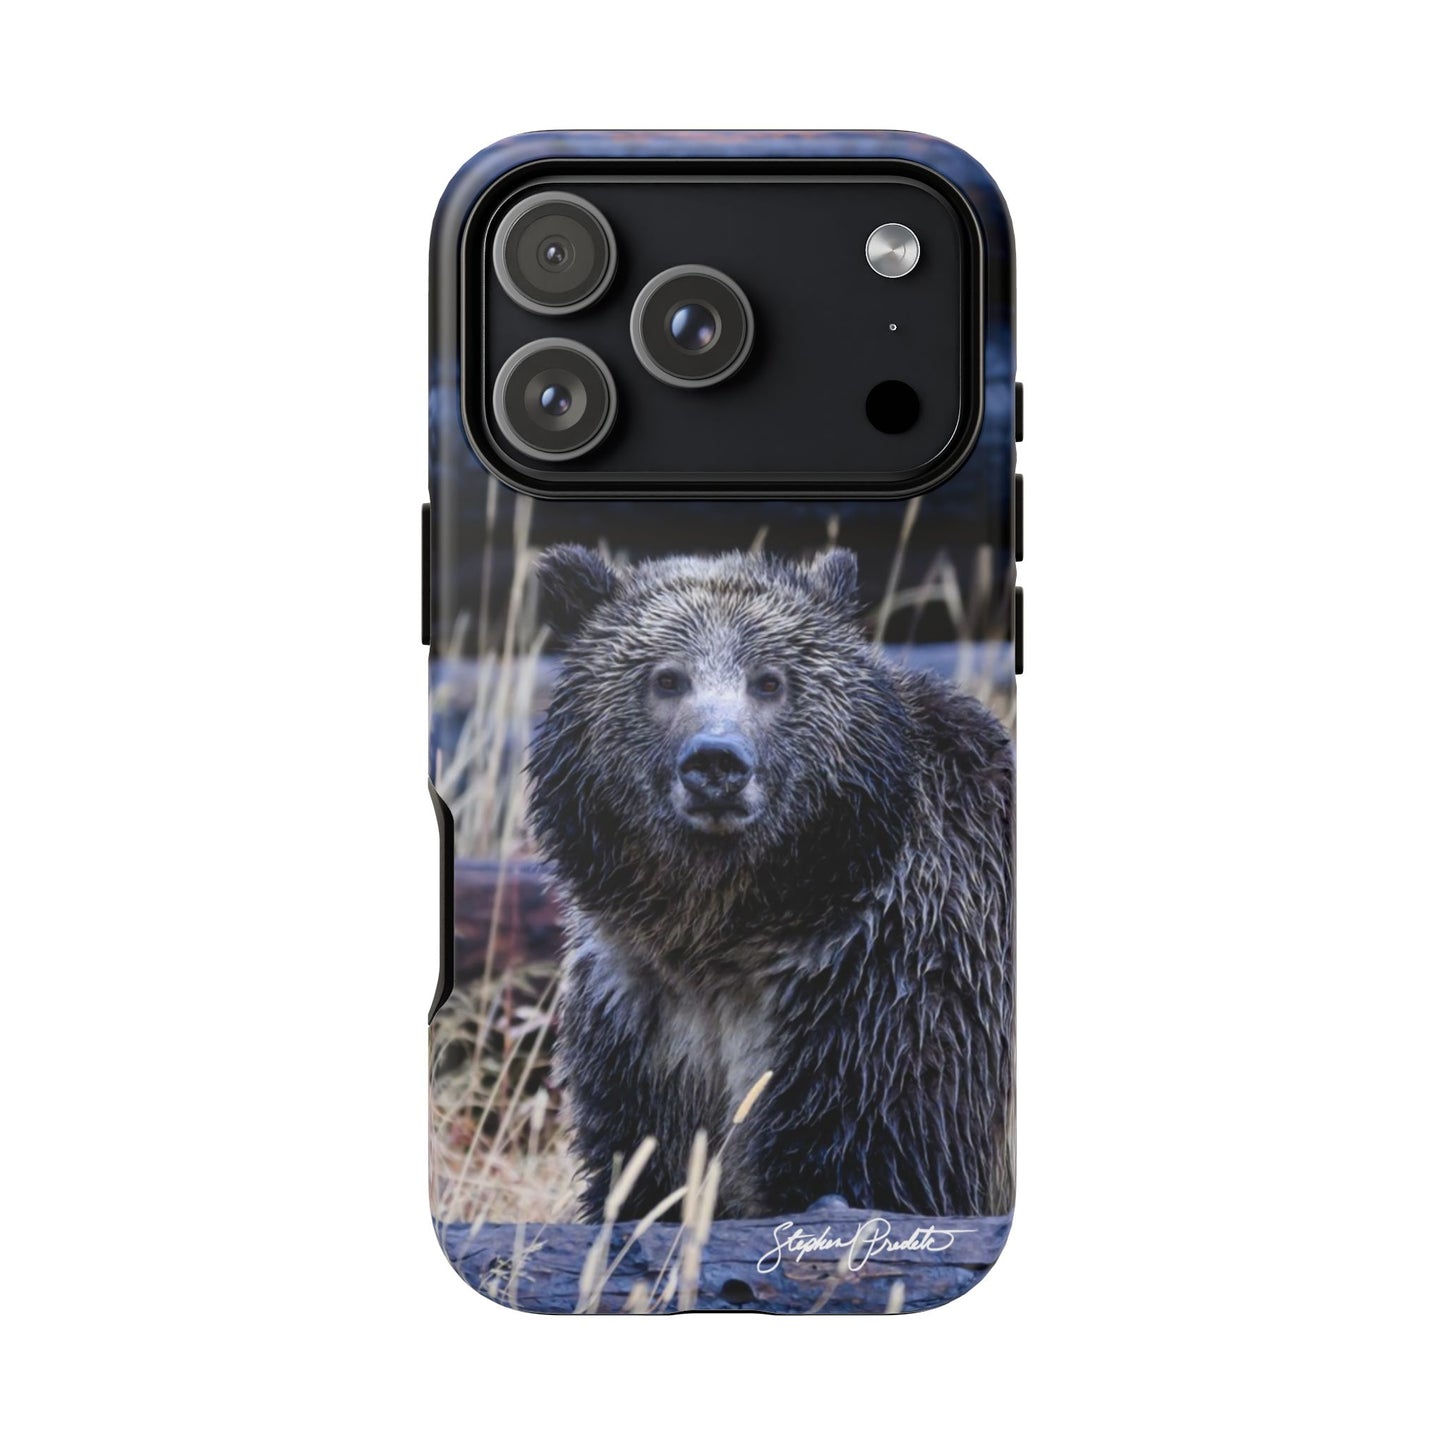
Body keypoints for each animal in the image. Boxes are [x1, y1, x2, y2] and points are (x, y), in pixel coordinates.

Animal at [526, 545, 1014, 1224]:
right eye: (667, 678)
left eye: (769, 681)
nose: (716, 762)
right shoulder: (641, 1017)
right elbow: (637, 1172)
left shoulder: (890, 998)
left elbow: (879, 1162)